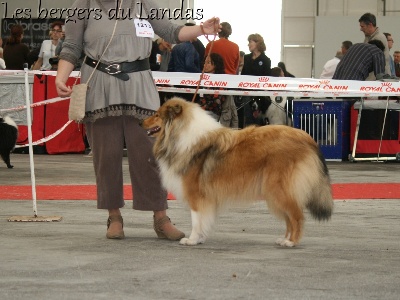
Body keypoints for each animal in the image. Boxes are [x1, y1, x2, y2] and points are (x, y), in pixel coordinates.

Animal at [142, 97, 332, 247]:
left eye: (157, 115)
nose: (140, 122)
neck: (181, 134)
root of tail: (307, 138)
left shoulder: (196, 194)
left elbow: (196, 219)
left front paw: (192, 239)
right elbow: (204, 219)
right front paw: (200, 238)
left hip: (279, 189)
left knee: (297, 216)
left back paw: (291, 242)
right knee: (289, 217)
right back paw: (284, 239)